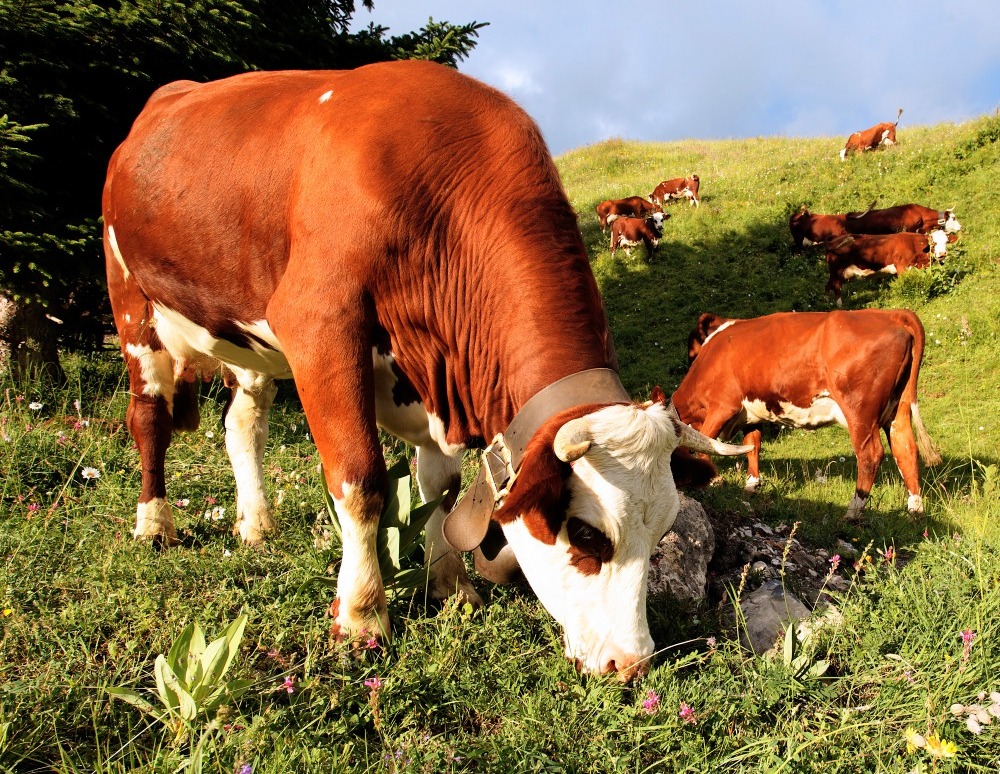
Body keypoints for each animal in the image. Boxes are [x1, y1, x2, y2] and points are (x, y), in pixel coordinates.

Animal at [103, 59, 752, 680]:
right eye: (589, 533)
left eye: (662, 530)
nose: (632, 664)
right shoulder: (318, 324)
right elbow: (360, 480)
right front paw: (361, 617)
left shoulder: (432, 377)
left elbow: (441, 487)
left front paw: (451, 586)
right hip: (132, 301)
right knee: (149, 419)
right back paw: (154, 524)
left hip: (243, 337)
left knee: (243, 426)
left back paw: (256, 524)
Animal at [676, 310, 940, 520]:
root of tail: (889, 313)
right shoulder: (751, 413)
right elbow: (752, 445)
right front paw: (751, 485)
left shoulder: (722, 406)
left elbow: (706, 442)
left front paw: (713, 480)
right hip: (898, 409)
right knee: (905, 449)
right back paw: (915, 511)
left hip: (859, 410)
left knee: (870, 454)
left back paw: (852, 512)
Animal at [820, 229, 952, 304]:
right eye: (934, 242)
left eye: (946, 242)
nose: (942, 254)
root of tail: (833, 241)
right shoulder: (901, 267)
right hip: (838, 271)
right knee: (836, 288)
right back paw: (840, 307)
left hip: (835, 273)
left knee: (828, 286)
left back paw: (827, 305)